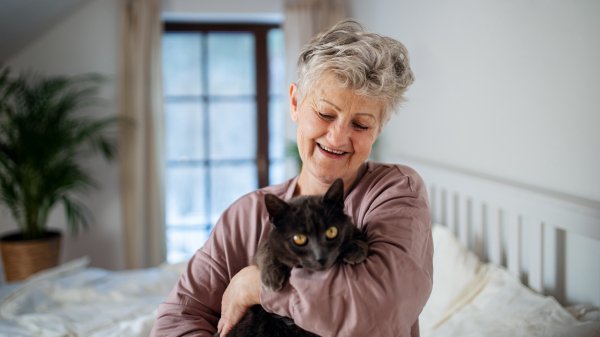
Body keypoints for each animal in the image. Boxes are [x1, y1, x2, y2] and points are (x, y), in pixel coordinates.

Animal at [213, 177, 368, 334]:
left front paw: (356, 249)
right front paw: (271, 277)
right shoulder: (265, 245)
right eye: (299, 238)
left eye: (332, 232)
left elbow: (357, 235)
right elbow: (266, 249)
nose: (321, 257)